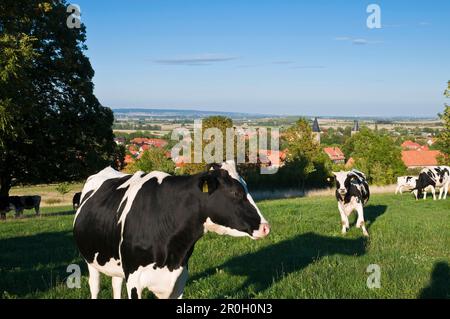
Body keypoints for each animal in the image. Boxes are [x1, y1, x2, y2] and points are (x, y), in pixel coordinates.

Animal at [73, 162, 270, 300]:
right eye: (236, 193)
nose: (265, 227)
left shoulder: (178, 279)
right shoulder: (135, 279)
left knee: (115, 285)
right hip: (92, 262)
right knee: (95, 287)